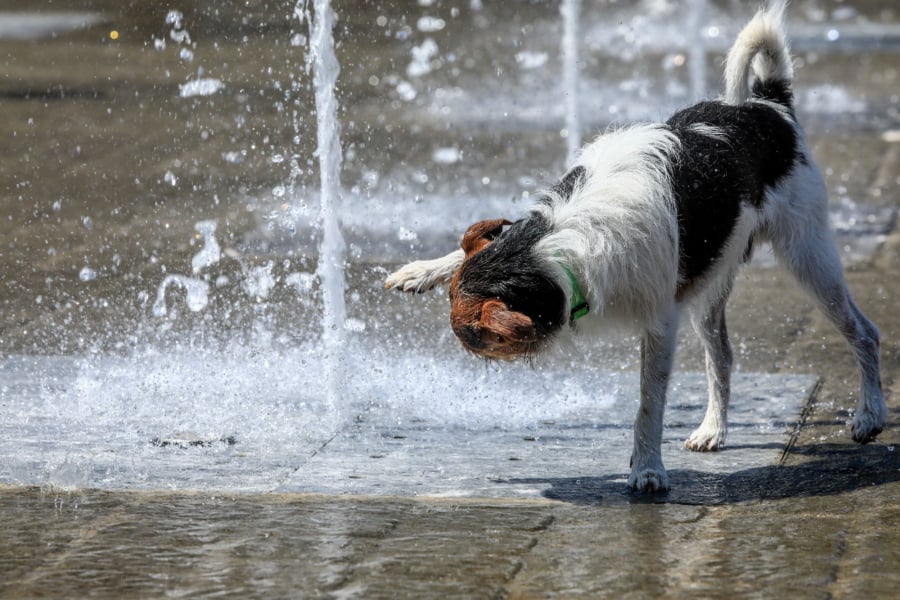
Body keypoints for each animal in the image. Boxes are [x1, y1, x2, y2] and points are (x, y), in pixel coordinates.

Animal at [382, 1, 884, 492]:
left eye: (473, 335)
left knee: (864, 332)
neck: (560, 245)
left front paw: (647, 469)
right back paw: (714, 430)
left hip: (809, 256)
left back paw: (869, 415)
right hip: (712, 278)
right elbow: (469, 247)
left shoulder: (661, 323)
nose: (464, 350)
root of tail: (767, 104)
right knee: (721, 356)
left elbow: (649, 404)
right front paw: (420, 270)